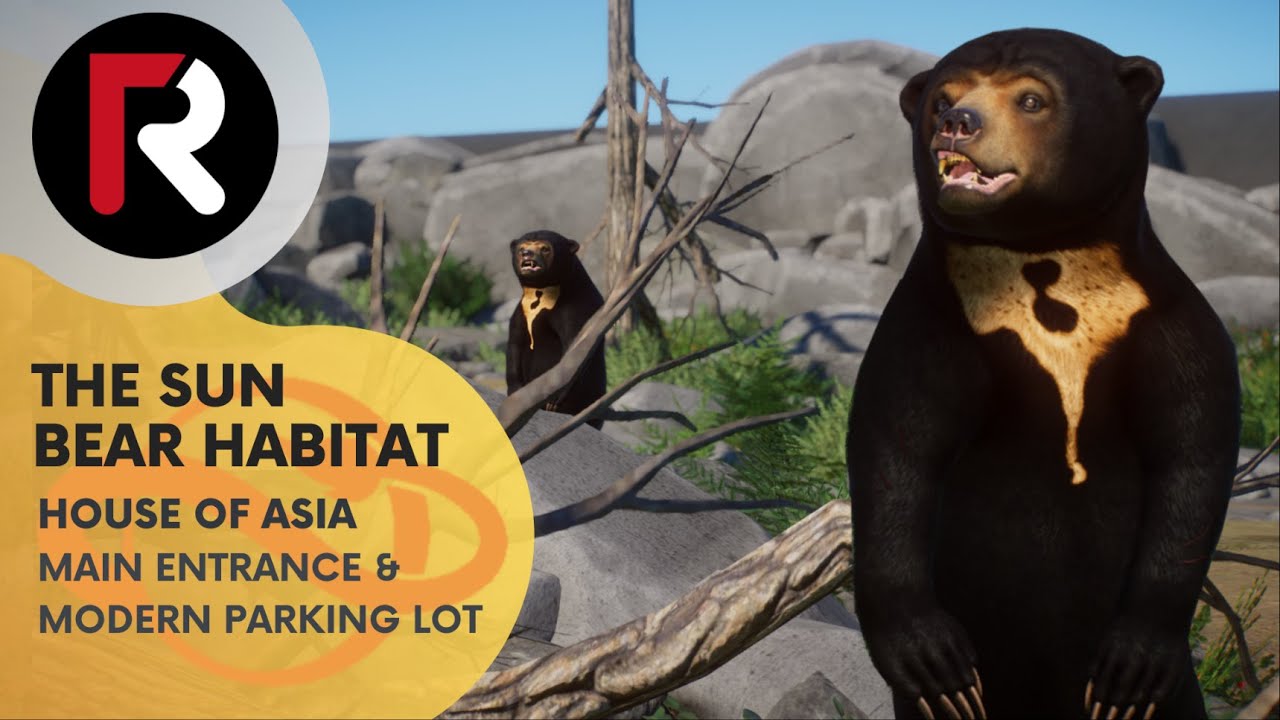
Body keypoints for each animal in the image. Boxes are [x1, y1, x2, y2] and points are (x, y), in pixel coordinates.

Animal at [506, 230, 608, 430]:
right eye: (522, 247)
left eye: (545, 248)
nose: (527, 255)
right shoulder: (521, 311)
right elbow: (515, 343)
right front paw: (516, 392)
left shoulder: (575, 309)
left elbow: (575, 349)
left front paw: (552, 400)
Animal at [847, 29, 1240, 720]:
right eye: (941, 97)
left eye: (1031, 98)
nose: (957, 122)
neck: (1040, 261)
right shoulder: (929, 324)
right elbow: (897, 449)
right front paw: (931, 659)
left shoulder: (1168, 323)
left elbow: (1192, 454)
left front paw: (1131, 666)